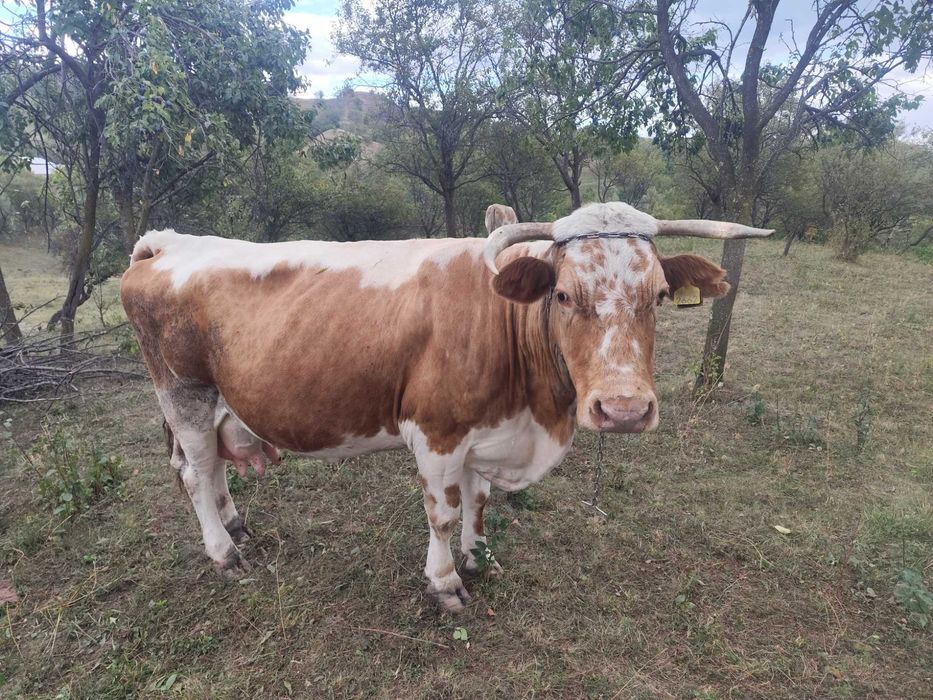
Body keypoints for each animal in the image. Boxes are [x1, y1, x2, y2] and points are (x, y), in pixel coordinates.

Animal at [121, 202, 772, 611]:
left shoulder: (486, 433)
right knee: (195, 472)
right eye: (563, 294)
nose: (625, 409)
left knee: (212, 468)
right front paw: (445, 583)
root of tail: (166, 243)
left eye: (659, 294)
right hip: (182, 393)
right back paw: (224, 553)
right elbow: (442, 512)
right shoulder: (435, 432)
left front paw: (478, 557)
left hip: (217, 402)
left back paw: (236, 524)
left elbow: (478, 502)